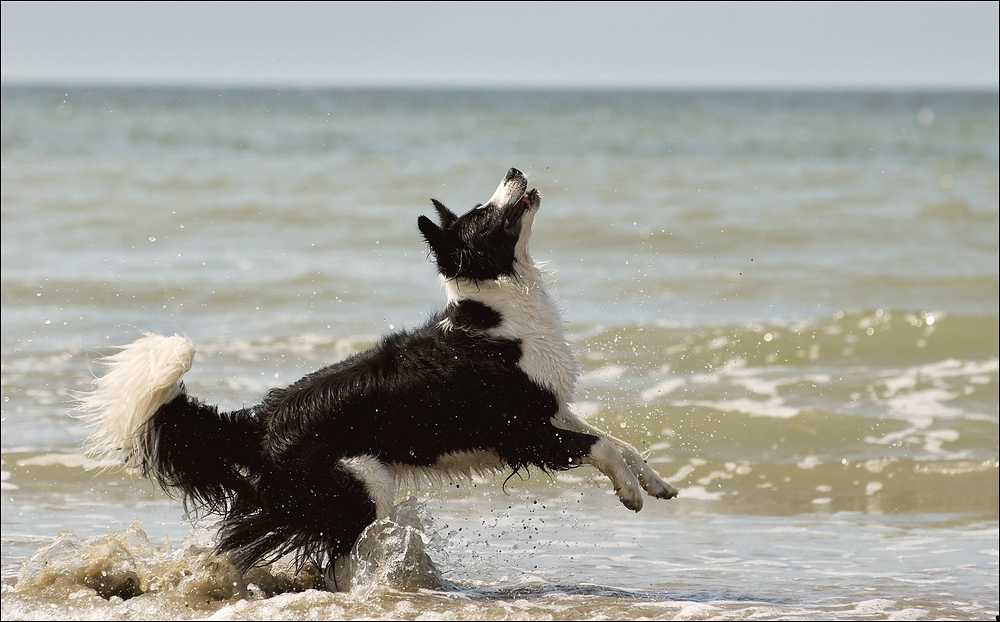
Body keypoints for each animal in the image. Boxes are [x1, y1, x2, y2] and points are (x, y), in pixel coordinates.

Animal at [76, 168, 672, 592]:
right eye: (484, 212)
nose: (514, 170)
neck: (495, 314)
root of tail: (260, 421)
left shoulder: (551, 409)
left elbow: (619, 441)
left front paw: (655, 482)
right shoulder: (523, 432)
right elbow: (599, 446)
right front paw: (629, 493)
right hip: (362, 486)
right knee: (337, 561)